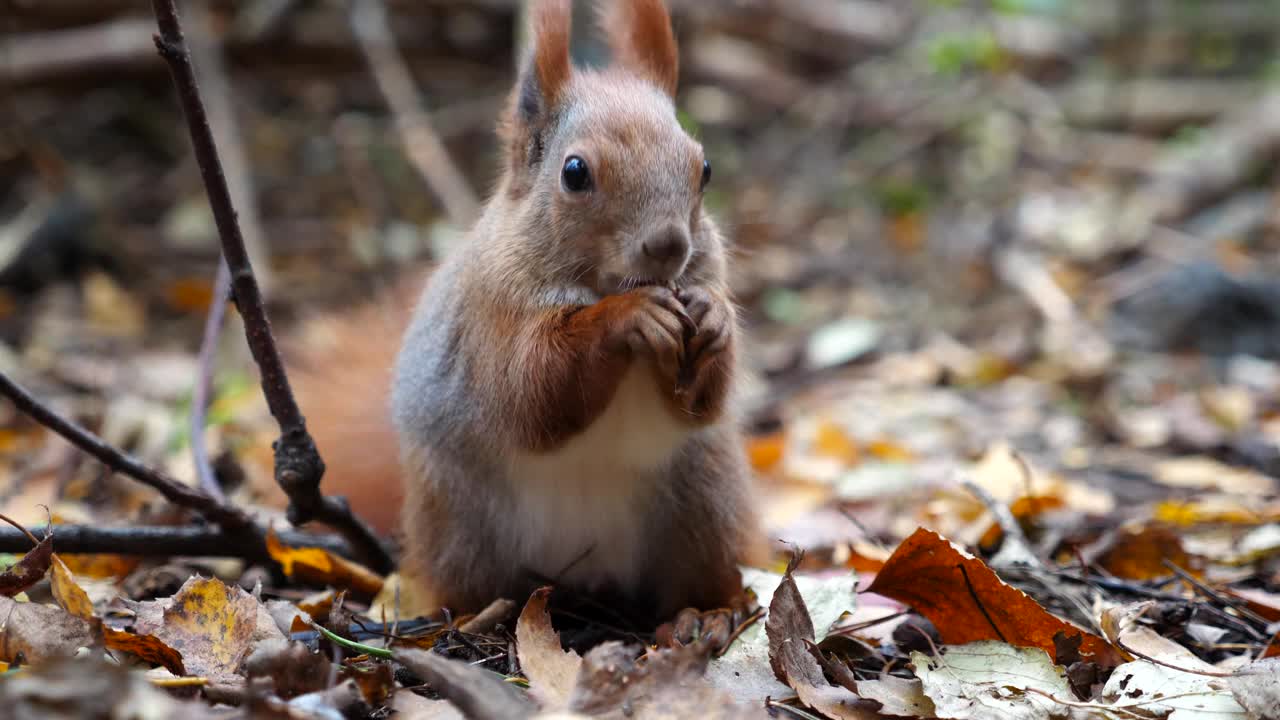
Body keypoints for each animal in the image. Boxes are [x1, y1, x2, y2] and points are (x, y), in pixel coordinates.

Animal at [280, 0, 757, 620]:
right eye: (575, 173)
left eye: (704, 168)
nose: (669, 245)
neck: (598, 284)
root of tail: (583, 573)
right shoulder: (491, 314)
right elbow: (531, 389)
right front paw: (629, 316)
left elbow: (699, 404)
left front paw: (714, 316)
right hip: (466, 525)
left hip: (702, 506)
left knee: (692, 583)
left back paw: (705, 618)